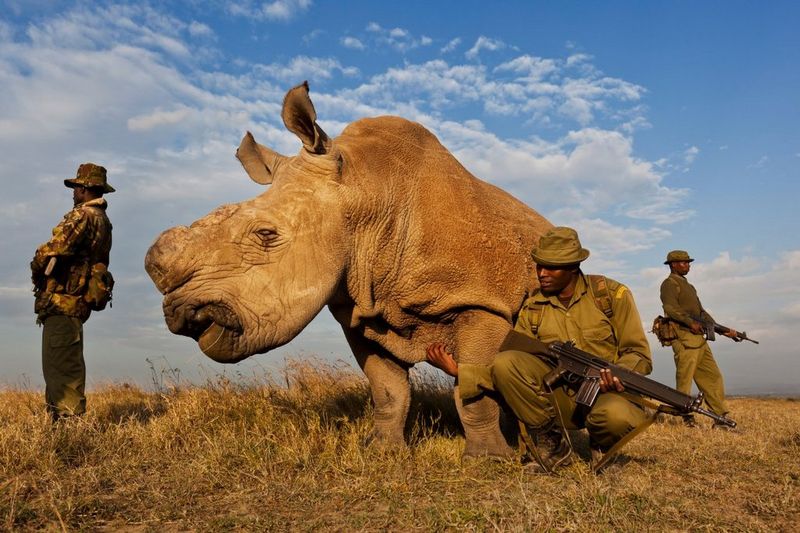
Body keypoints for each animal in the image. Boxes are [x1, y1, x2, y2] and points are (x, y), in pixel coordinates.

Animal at [145, 82, 552, 458]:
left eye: (265, 234)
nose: (182, 314)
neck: (367, 192)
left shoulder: (482, 302)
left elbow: (473, 390)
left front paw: (489, 459)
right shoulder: (361, 311)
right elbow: (387, 389)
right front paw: (384, 452)